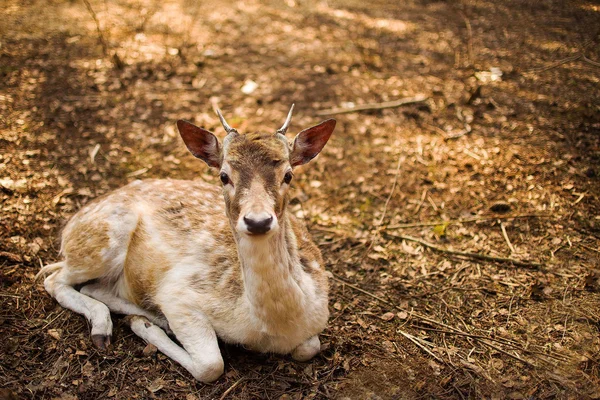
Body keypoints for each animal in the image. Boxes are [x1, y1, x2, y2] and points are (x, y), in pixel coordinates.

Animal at [36, 106, 338, 382]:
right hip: (100, 241)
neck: (271, 326)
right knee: (54, 278)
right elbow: (211, 366)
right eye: (223, 176)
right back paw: (115, 327)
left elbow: (311, 346)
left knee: (91, 286)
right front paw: (146, 327)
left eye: (288, 175)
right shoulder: (179, 295)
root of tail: (72, 223)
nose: (258, 221)